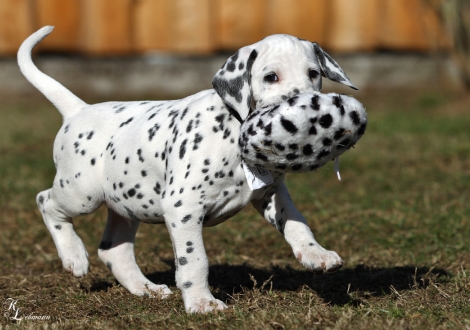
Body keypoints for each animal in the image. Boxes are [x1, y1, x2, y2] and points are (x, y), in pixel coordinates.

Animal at [17, 27, 360, 314]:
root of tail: (79, 110)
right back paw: (73, 256)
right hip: (81, 193)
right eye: (271, 76)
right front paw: (201, 303)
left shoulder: (271, 193)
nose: (306, 107)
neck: (233, 129)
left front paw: (316, 254)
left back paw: (146, 289)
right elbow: (194, 260)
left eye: (313, 73)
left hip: (127, 203)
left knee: (114, 251)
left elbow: (297, 223)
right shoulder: (183, 208)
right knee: (45, 201)